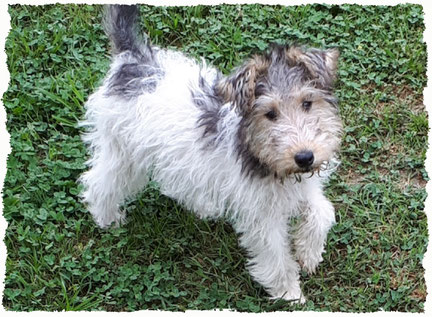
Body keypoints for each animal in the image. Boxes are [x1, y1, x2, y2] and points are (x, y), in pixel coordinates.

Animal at [80, 4, 344, 302]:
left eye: (307, 103)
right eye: (270, 113)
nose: (304, 157)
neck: (265, 160)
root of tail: (131, 58)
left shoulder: (303, 187)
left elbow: (323, 212)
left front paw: (309, 253)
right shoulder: (262, 216)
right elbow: (276, 256)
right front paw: (289, 292)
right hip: (123, 154)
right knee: (98, 182)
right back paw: (107, 218)